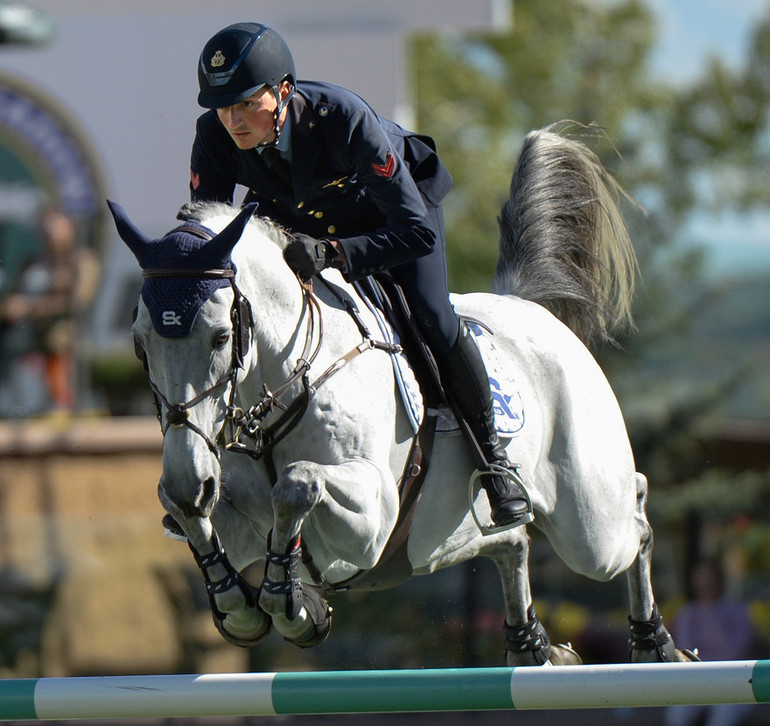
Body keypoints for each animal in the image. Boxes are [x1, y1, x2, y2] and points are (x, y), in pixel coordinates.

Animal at [106, 123, 688, 664]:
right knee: (509, 541)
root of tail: (531, 309)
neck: (283, 385)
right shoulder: (234, 515)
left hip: (589, 524)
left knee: (632, 516)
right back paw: (532, 645)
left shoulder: (373, 520)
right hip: (459, 529)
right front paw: (242, 605)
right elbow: (195, 519)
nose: (191, 480)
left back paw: (655, 644)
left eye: (221, 337)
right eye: (140, 343)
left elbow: (296, 484)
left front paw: (292, 604)